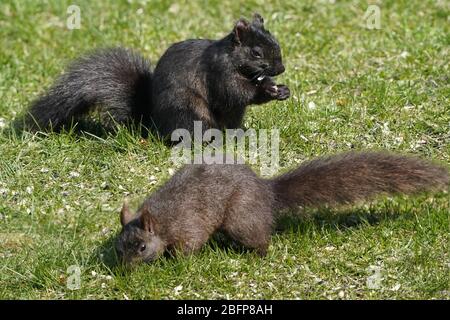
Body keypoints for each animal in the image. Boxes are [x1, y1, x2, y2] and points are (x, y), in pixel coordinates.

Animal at [24, 13, 288, 138]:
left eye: (276, 42)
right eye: (256, 53)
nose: (281, 69)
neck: (232, 59)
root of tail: (154, 126)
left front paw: (280, 89)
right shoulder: (218, 73)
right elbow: (233, 92)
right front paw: (266, 90)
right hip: (189, 111)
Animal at [114, 151, 448, 266]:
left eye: (141, 248)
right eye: (119, 247)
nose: (126, 271)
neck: (161, 220)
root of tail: (267, 192)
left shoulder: (187, 226)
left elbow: (188, 247)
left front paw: (175, 264)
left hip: (241, 218)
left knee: (260, 239)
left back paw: (256, 256)